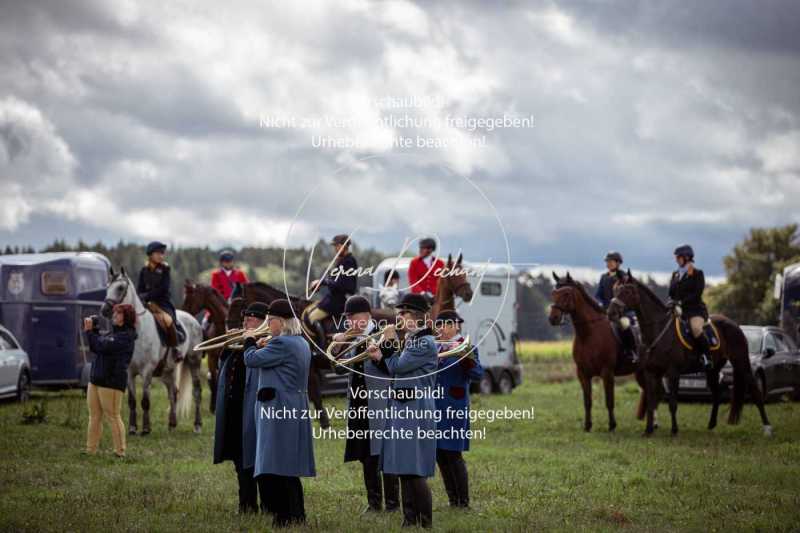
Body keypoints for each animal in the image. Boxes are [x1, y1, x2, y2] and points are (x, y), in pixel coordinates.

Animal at [103, 266, 205, 432]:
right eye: (107, 287)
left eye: (120, 288)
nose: (104, 310)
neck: (138, 332)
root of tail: (193, 319)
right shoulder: (129, 372)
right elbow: (132, 401)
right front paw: (132, 428)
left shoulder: (147, 371)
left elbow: (145, 400)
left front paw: (145, 428)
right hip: (167, 370)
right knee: (173, 392)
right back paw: (172, 424)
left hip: (193, 361)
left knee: (196, 392)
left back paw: (197, 425)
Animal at [548, 272, 648, 430]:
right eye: (554, 293)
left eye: (566, 293)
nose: (553, 318)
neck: (588, 334)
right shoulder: (582, 374)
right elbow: (587, 401)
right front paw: (587, 426)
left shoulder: (607, 373)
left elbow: (609, 400)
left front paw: (612, 425)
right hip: (641, 372)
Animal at [608, 272, 772, 434]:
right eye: (615, 291)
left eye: (627, 291)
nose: (611, 313)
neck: (657, 331)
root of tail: (735, 324)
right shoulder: (650, 372)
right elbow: (651, 402)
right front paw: (648, 431)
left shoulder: (672, 372)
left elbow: (672, 403)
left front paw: (674, 430)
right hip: (713, 369)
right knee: (716, 394)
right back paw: (711, 425)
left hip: (741, 363)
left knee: (755, 392)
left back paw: (767, 428)